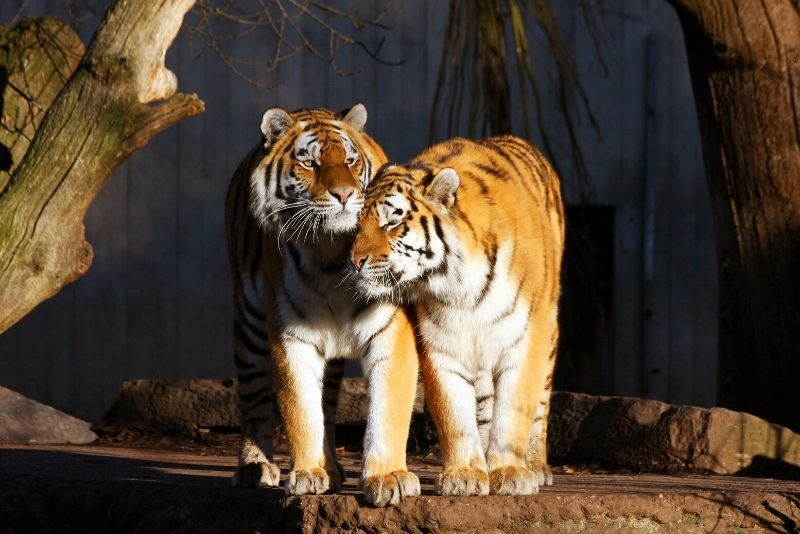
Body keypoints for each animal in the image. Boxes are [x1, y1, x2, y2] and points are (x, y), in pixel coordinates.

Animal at [225, 103, 422, 506]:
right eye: (310, 163)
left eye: (349, 160)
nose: (344, 194)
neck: (331, 253)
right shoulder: (291, 337)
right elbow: (301, 408)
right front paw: (309, 473)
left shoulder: (390, 330)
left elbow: (388, 406)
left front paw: (389, 477)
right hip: (249, 323)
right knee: (254, 400)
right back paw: (255, 467)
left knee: (328, 408)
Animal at [348, 137, 564, 498]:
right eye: (356, 226)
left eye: (391, 222)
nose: (354, 262)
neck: (458, 285)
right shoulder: (440, 344)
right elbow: (455, 413)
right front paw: (465, 474)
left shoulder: (526, 337)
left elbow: (515, 409)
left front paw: (509, 471)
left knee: (540, 405)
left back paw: (535, 467)